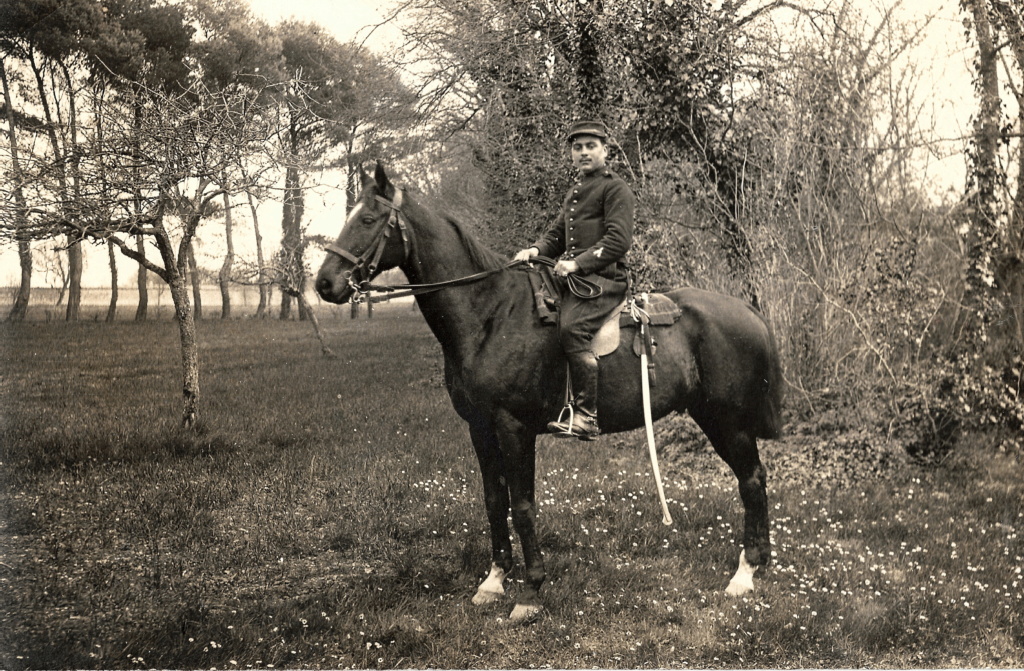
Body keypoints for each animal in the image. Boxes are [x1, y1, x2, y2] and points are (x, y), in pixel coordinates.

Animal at [315, 163, 778, 622]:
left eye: (368, 219)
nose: (324, 284)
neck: (491, 315)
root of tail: (746, 309)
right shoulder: (480, 427)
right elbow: (494, 500)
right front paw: (494, 580)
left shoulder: (514, 428)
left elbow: (522, 506)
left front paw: (531, 591)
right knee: (754, 480)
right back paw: (758, 565)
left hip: (727, 421)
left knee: (752, 480)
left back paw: (745, 573)